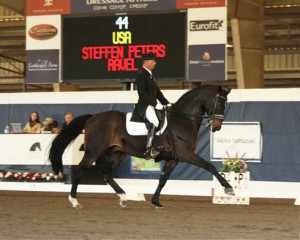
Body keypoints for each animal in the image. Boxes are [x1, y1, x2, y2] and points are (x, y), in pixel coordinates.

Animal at [48, 85, 234, 209]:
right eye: (219, 103)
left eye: (225, 105)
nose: (217, 127)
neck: (182, 120)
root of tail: (93, 117)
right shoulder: (185, 154)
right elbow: (209, 166)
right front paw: (229, 188)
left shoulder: (174, 158)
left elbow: (163, 179)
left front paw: (156, 202)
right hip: (94, 151)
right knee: (80, 170)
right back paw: (74, 201)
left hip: (117, 153)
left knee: (105, 173)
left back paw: (123, 197)